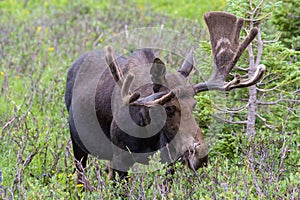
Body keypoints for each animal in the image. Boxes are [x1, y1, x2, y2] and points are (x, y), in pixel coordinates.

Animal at [65, 11, 264, 182]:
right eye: (169, 108)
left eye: (194, 105)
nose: (201, 156)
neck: (146, 133)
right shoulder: (121, 158)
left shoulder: (169, 160)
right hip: (78, 144)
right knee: (80, 177)